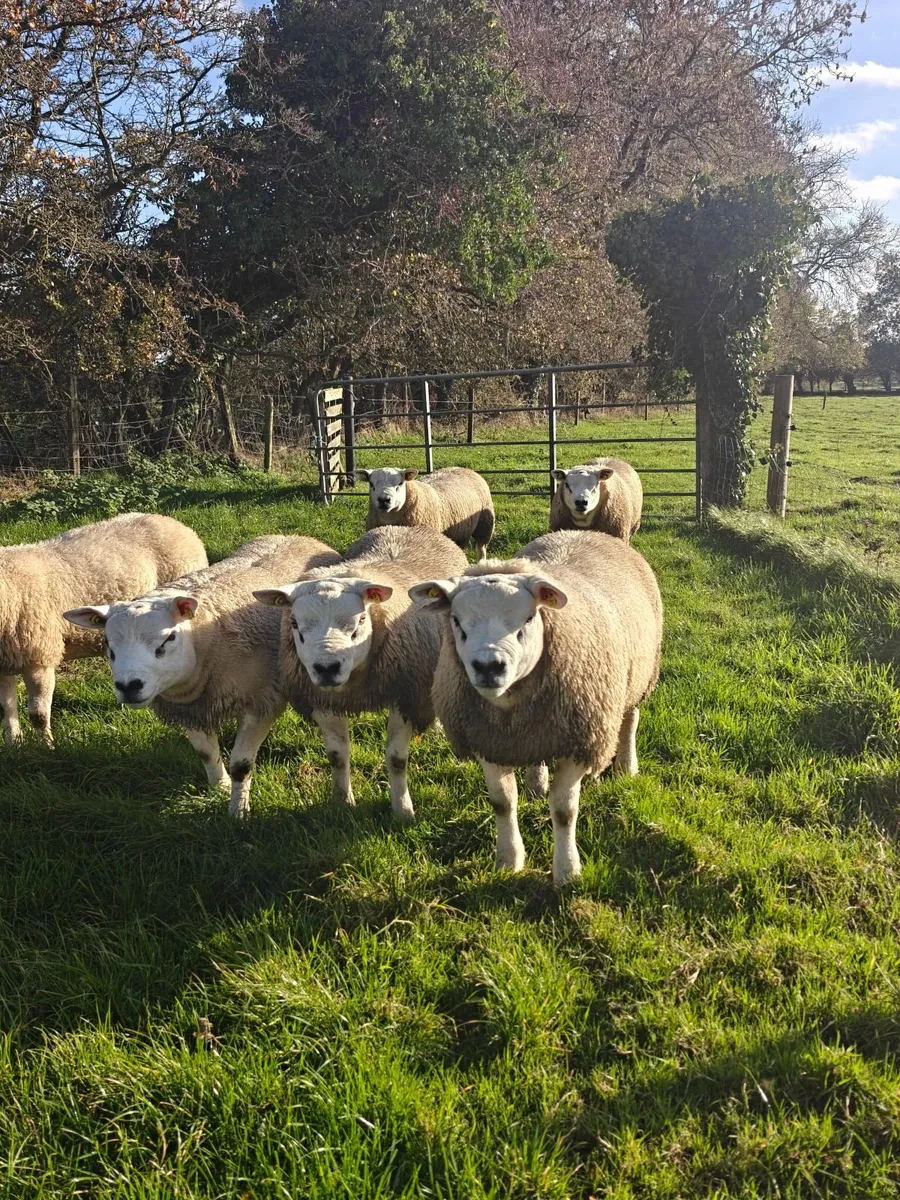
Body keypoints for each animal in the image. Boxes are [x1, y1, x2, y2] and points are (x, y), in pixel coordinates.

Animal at [0, 512, 207, 747]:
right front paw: (14, 743)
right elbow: (6, 708)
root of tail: (175, 523)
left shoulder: (39, 657)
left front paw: (46, 747)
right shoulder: (4, 663)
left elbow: (38, 715)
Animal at [64, 535, 340, 817]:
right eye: (107, 643)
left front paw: (238, 811)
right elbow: (205, 754)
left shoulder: (261, 702)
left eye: (168, 638)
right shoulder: (189, 708)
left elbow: (241, 764)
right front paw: (220, 787)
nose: (128, 685)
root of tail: (297, 536)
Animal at [254, 526, 467, 820]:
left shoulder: (404, 693)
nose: (327, 668)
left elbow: (397, 759)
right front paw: (343, 803)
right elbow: (337, 756)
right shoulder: (324, 701)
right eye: (295, 623)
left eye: (361, 621)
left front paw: (403, 811)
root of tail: (406, 527)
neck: (355, 686)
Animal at [355, 466, 495, 560]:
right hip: (461, 532)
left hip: (485, 524)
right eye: (371, 484)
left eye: (400, 483)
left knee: (481, 549)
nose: (384, 500)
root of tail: (462, 468)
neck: (390, 518)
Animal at [410, 529, 662, 885]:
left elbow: (564, 810)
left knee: (630, 719)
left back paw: (627, 765)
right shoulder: (487, 740)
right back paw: (535, 783)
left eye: (528, 618)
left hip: (640, 675)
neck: (509, 708)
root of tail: (586, 531)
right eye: (456, 621)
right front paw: (509, 861)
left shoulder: (580, 740)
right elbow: (502, 802)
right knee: (536, 755)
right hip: (539, 729)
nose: (489, 666)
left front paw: (567, 871)